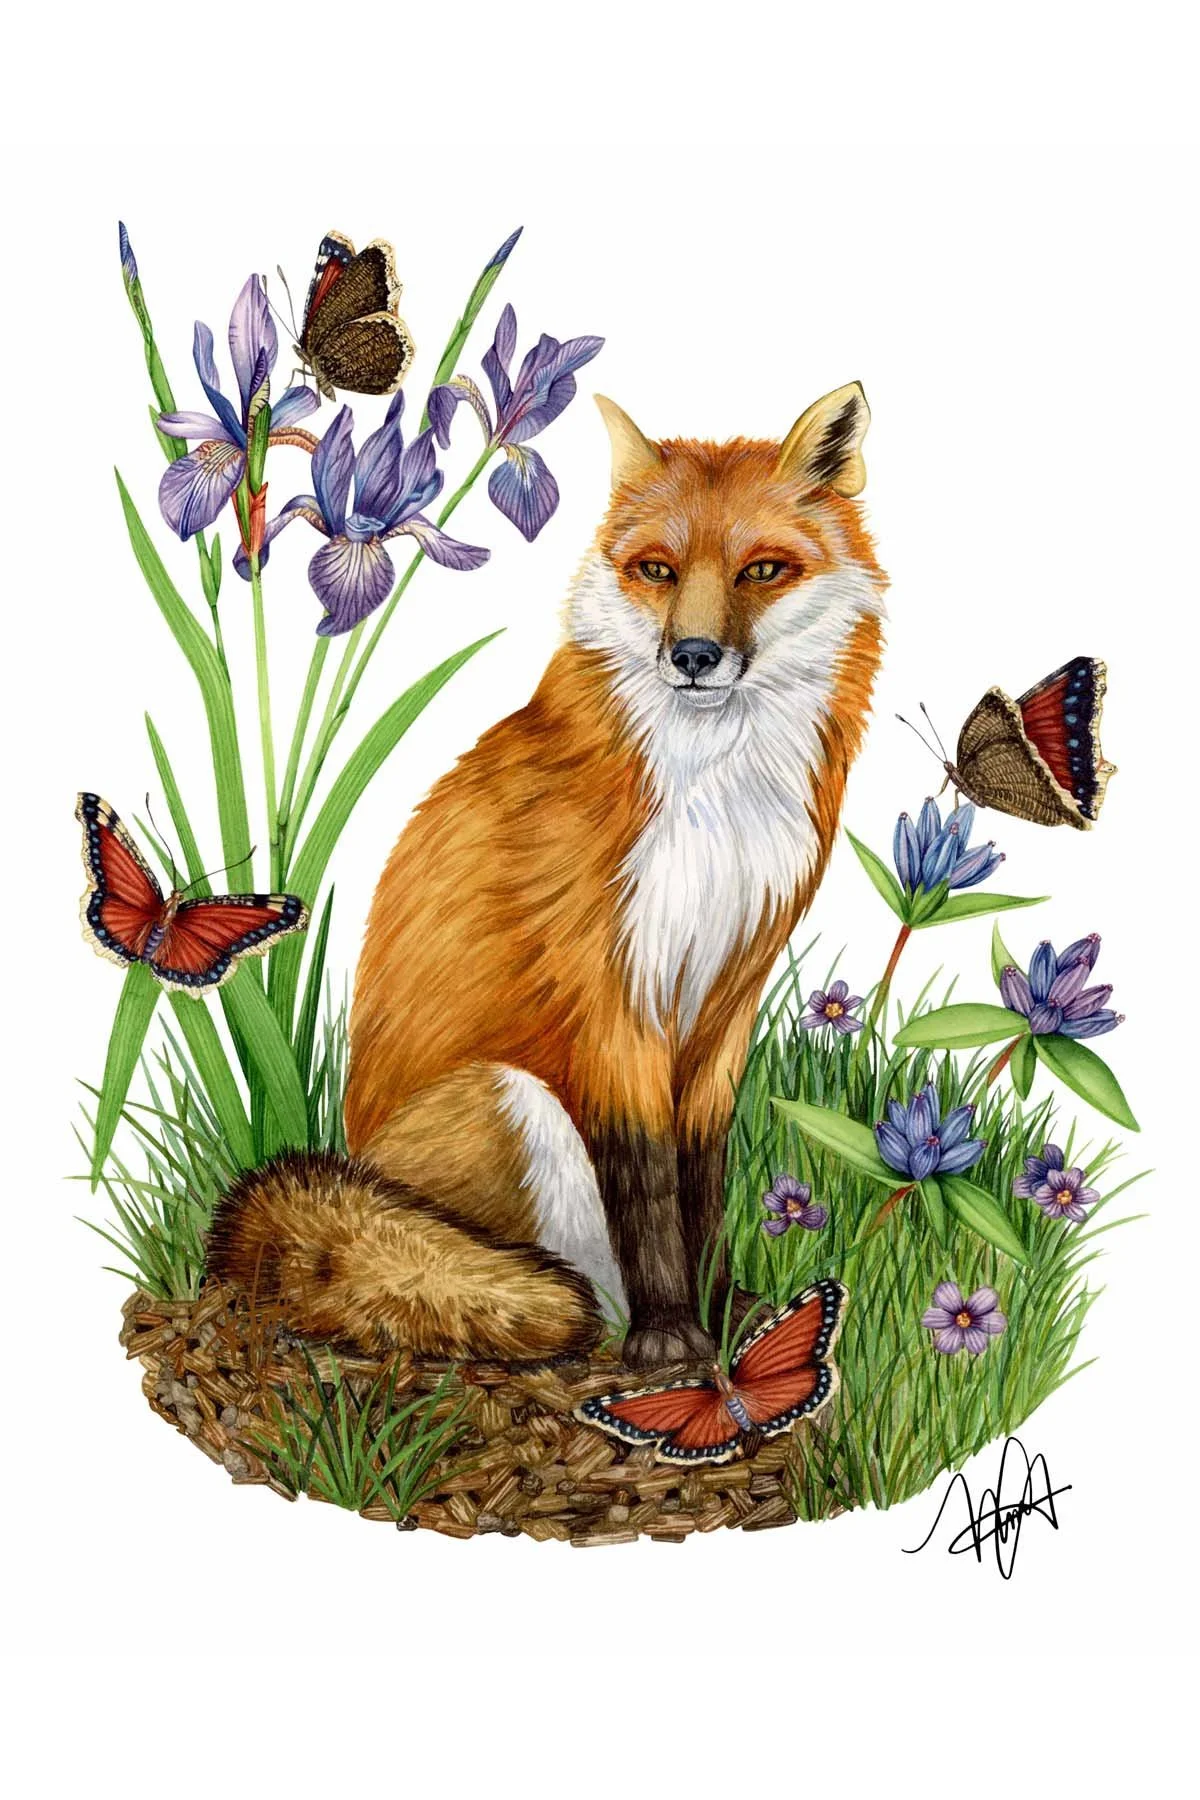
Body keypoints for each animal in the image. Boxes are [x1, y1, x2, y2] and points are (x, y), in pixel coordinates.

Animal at [208, 381, 887, 1368]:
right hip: (511, 1099)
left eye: (762, 571)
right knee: (565, 1282)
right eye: (656, 571)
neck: (716, 806)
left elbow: (704, 1179)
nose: (692, 657)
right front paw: (673, 1338)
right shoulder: (609, 995)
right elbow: (647, 1182)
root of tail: (350, 1158)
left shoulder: (728, 997)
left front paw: (725, 1316)